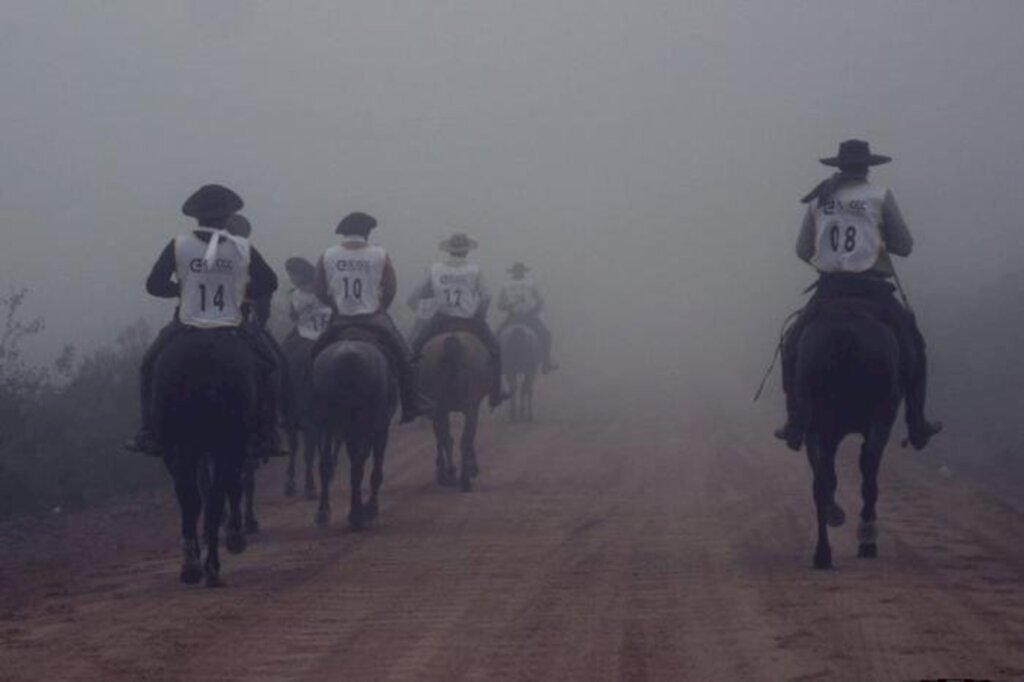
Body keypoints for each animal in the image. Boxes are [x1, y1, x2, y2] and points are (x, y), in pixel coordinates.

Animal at [151, 327, 256, 585]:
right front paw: (235, 534)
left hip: (178, 446)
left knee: (193, 496)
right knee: (213, 494)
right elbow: (231, 485)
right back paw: (209, 565)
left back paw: (193, 565)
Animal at [311, 331, 395, 528]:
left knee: (326, 464)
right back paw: (357, 514)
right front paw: (371, 506)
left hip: (326, 423)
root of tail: (347, 359)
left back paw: (324, 511)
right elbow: (374, 468)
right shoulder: (380, 426)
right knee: (357, 465)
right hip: (360, 425)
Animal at [419, 329, 491, 489]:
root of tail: (452, 344)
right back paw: (461, 478)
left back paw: (450, 474)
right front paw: (472, 468)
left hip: (440, 408)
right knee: (462, 438)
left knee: (446, 437)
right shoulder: (472, 408)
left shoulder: (438, 409)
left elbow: (442, 436)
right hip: (465, 407)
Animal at [794, 296, 901, 569]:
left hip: (817, 423)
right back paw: (864, 540)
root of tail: (845, 336)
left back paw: (824, 552)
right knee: (868, 470)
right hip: (878, 416)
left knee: (822, 482)